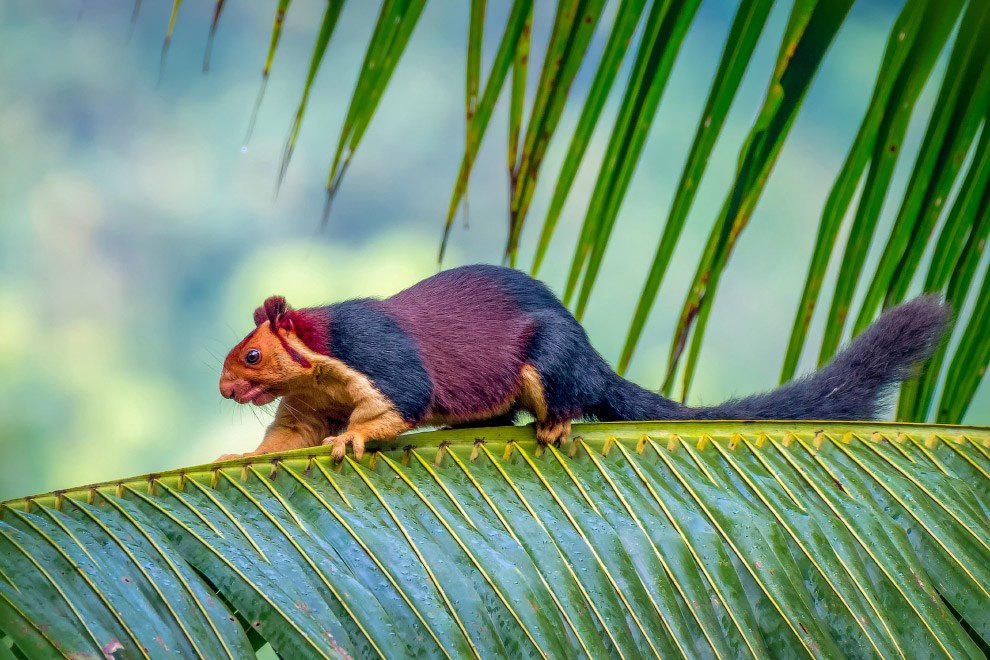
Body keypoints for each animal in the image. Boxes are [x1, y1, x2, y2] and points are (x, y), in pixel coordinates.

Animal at [216, 264, 951, 462]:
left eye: (252, 353)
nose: (224, 388)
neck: (320, 356)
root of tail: (596, 361)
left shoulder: (376, 355)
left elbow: (401, 397)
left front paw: (353, 438)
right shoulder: (310, 397)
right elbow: (290, 435)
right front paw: (241, 454)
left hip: (552, 360)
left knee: (562, 395)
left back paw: (557, 423)